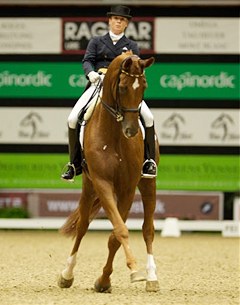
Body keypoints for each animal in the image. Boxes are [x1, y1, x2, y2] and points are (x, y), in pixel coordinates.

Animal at [57, 50, 159, 292]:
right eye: (122, 87)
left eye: (144, 86)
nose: (131, 131)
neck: (114, 134)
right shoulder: (102, 183)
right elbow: (119, 230)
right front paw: (123, 273)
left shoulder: (127, 188)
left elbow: (116, 235)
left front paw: (108, 279)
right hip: (88, 185)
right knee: (82, 226)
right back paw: (67, 274)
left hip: (148, 183)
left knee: (148, 229)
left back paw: (152, 278)